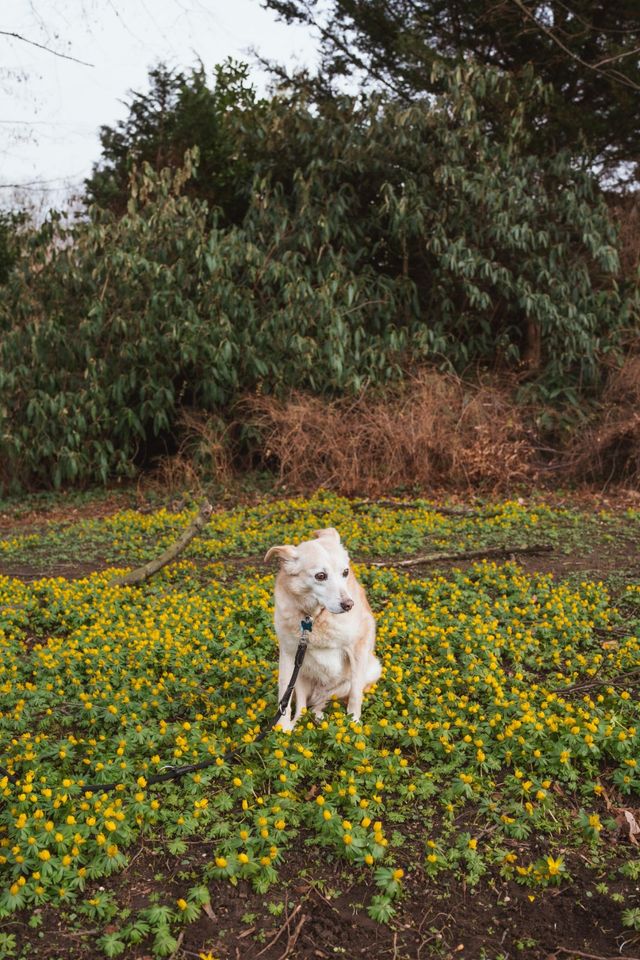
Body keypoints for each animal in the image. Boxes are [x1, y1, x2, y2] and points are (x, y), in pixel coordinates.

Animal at [264, 528, 380, 732]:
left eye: (345, 572)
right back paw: (298, 723)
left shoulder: (358, 647)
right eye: (320, 576)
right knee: (303, 706)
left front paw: (354, 723)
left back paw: (320, 717)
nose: (349, 605)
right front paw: (282, 728)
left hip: (369, 670)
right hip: (300, 674)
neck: (313, 617)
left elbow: (356, 694)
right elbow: (284, 690)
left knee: (323, 702)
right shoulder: (288, 654)